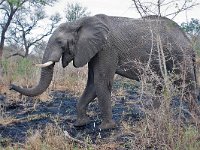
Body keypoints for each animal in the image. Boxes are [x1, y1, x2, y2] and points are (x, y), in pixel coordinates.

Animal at [10, 13, 198, 129]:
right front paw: (80, 124)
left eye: (60, 42)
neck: (80, 22)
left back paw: (192, 120)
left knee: (187, 84)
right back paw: (153, 117)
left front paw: (106, 128)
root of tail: (189, 39)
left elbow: (101, 81)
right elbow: (92, 84)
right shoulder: (94, 50)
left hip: (180, 56)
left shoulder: (106, 48)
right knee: (161, 85)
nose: (11, 85)